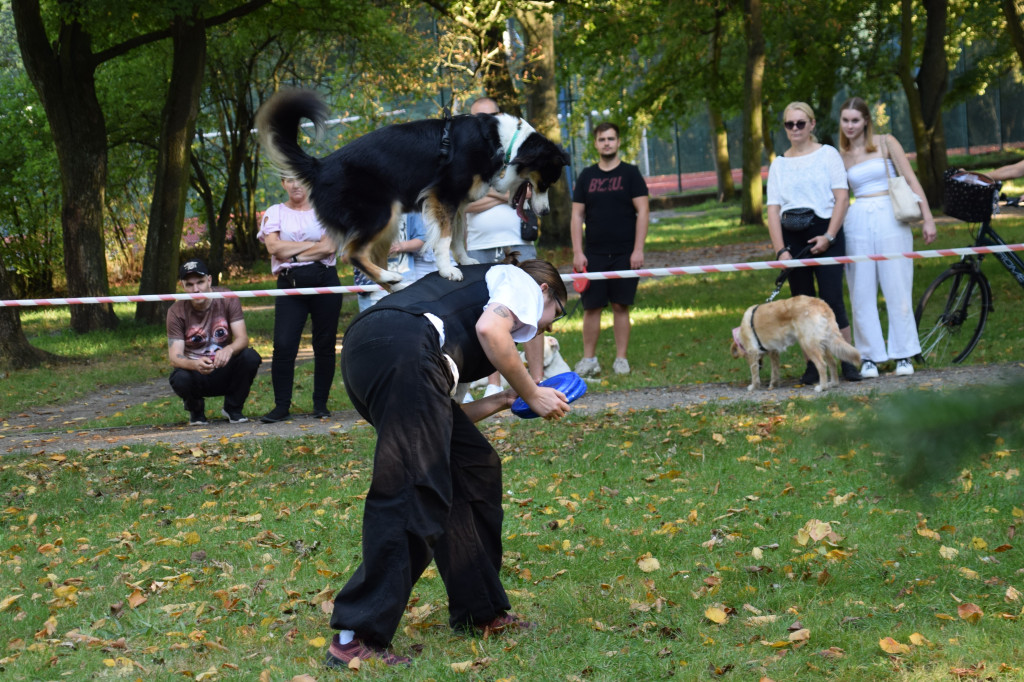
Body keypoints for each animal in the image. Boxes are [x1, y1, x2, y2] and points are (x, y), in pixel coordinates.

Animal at [252, 88, 573, 286]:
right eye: (546, 182)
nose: (545, 213)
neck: (503, 143)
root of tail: (319, 166)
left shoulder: (458, 202)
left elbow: (457, 238)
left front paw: (465, 261)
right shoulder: (443, 196)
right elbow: (443, 239)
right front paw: (447, 270)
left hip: (387, 225)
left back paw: (393, 283)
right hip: (381, 213)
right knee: (351, 254)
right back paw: (389, 277)